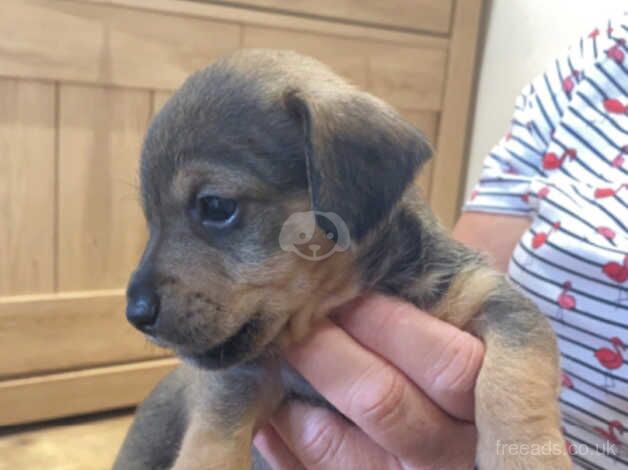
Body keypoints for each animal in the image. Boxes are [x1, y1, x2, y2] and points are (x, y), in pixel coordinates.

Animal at [113, 49, 568, 468]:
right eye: (149, 218)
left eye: (216, 206)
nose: (135, 314)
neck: (343, 297)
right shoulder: (249, 372)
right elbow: (214, 433)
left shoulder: (489, 298)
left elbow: (513, 382)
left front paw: (528, 457)